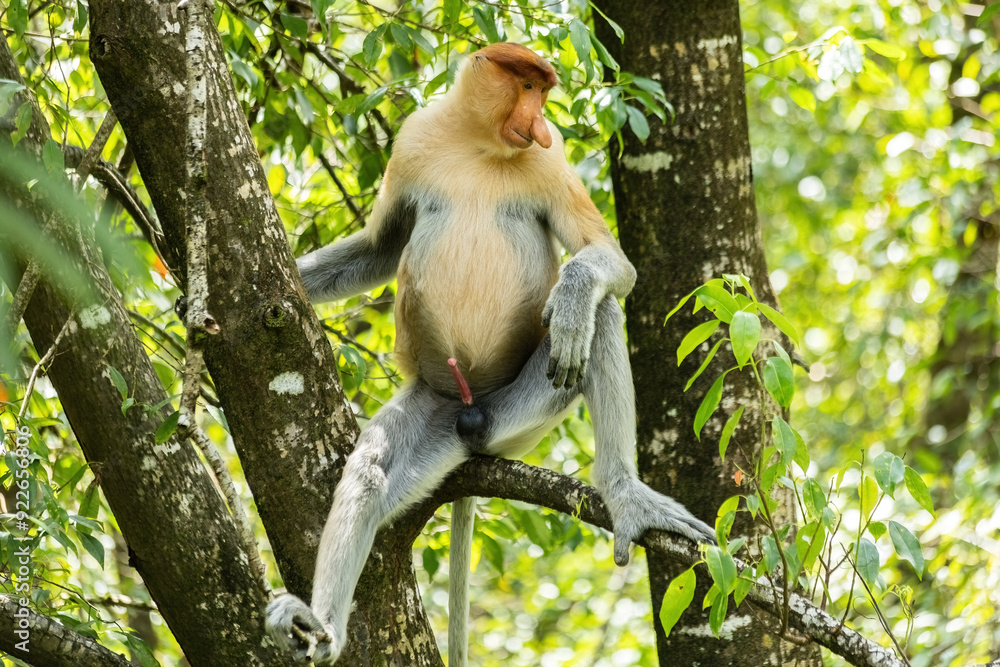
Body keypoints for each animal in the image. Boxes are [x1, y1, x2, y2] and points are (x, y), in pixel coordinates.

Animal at [265, 42, 715, 666]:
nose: (541, 123)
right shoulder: (413, 141)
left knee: (600, 318)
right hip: (434, 405)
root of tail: (471, 410)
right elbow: (382, 246)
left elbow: (610, 262)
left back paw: (626, 495)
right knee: (371, 474)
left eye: (544, 92)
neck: (477, 143)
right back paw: (322, 627)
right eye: (527, 86)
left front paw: (572, 294)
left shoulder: (552, 164)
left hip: (519, 412)